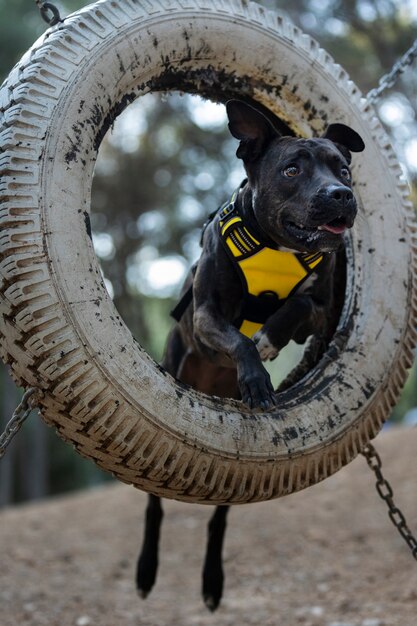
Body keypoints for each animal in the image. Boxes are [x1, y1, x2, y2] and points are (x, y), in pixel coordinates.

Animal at [135, 98, 362, 608]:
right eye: (292, 169)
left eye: (343, 168)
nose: (341, 194)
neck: (277, 246)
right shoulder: (205, 318)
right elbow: (239, 339)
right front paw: (257, 377)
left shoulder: (321, 310)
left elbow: (296, 304)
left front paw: (269, 340)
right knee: (154, 506)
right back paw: (145, 570)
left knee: (220, 515)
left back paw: (212, 581)